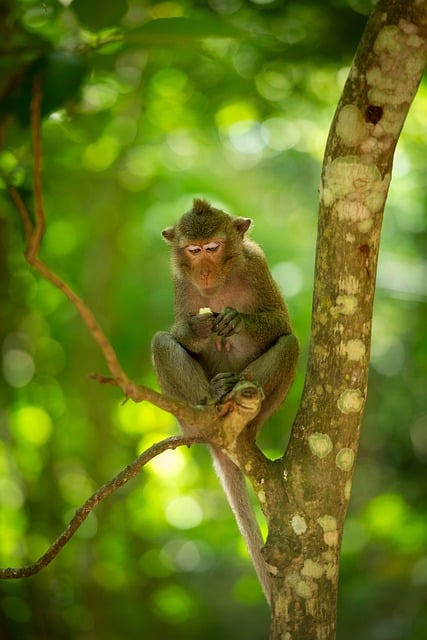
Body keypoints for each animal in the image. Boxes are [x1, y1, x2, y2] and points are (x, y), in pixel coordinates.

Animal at [152, 198, 300, 604]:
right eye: (193, 251)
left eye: (213, 248)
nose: (203, 270)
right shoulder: (179, 281)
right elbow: (178, 333)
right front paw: (195, 328)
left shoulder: (257, 263)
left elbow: (282, 325)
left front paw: (238, 320)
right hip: (186, 417)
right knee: (160, 341)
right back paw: (212, 400)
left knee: (290, 344)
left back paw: (243, 412)